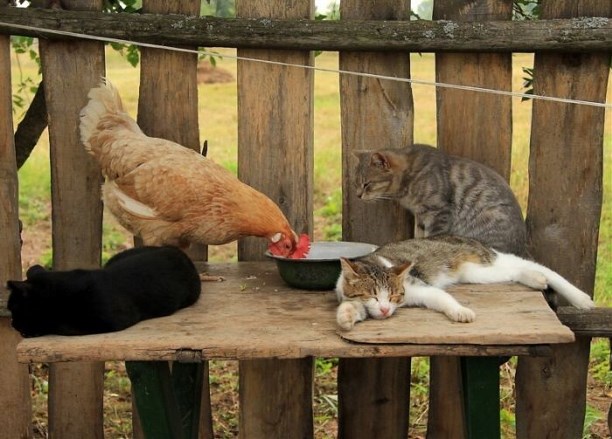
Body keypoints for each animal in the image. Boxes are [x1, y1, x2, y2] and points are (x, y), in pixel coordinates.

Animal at [335, 235, 594, 331]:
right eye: (372, 296)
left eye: (393, 296)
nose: (385, 309)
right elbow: (354, 307)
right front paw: (346, 315)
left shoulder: (417, 285)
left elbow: (441, 297)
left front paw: (461, 312)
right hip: (476, 272)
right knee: (517, 270)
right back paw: (536, 279)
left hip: (484, 261)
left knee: (529, 264)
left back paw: (580, 298)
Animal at [353, 144, 527, 256]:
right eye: (356, 183)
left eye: (367, 184)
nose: (357, 195)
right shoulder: (420, 215)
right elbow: (419, 235)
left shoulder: (438, 212)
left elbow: (432, 237)